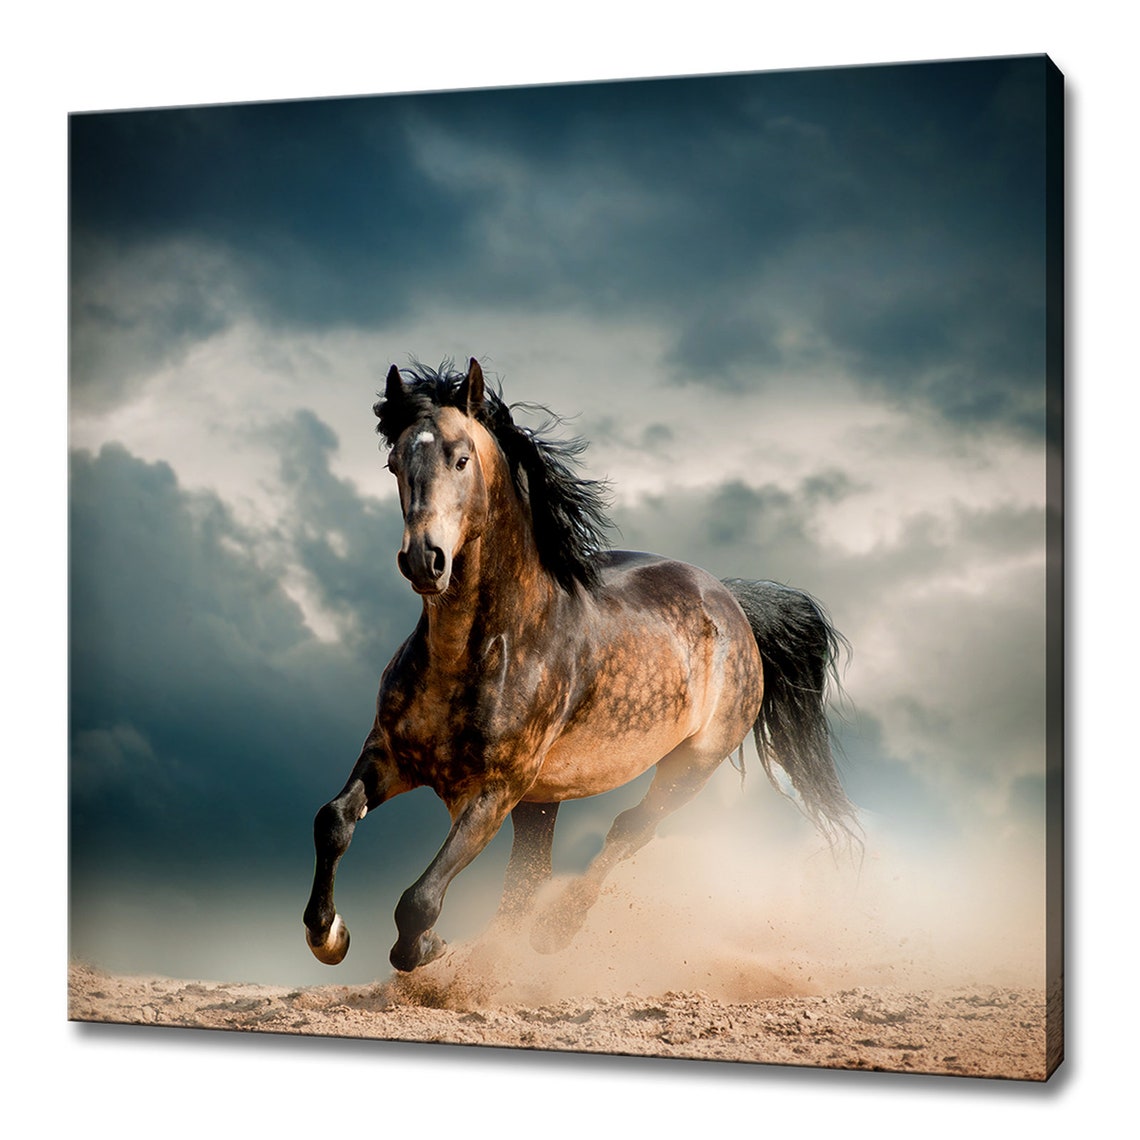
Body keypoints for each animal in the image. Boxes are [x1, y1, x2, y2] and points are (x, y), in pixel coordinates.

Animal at [303, 358, 858, 973]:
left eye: (461, 458)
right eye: (394, 463)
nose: (425, 560)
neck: (477, 651)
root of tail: (732, 601)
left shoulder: (494, 791)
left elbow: (419, 899)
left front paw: (426, 948)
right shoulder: (390, 754)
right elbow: (332, 821)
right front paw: (328, 935)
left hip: (690, 766)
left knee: (626, 832)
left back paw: (555, 931)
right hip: (544, 799)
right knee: (529, 876)